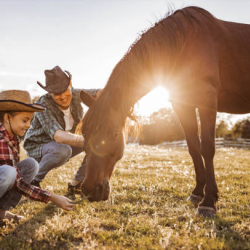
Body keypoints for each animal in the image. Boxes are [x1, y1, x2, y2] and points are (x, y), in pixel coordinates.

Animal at [79, 6, 250, 217]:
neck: (184, 44)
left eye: (114, 134)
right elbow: (193, 148)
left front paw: (208, 201)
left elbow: (207, 148)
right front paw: (197, 193)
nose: (89, 189)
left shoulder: (206, 100)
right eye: (84, 133)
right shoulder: (182, 104)